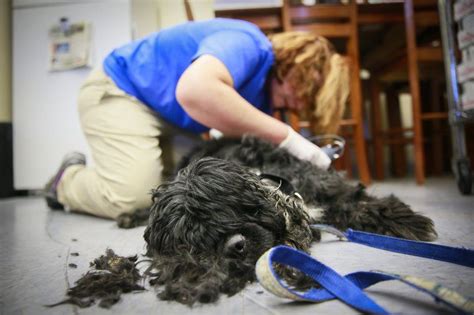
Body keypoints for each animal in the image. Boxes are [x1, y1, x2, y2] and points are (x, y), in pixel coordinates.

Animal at [143, 136, 436, 306]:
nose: (236, 247)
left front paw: (405, 220)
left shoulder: (322, 186)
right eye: (194, 240)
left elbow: (353, 201)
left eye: (225, 210)